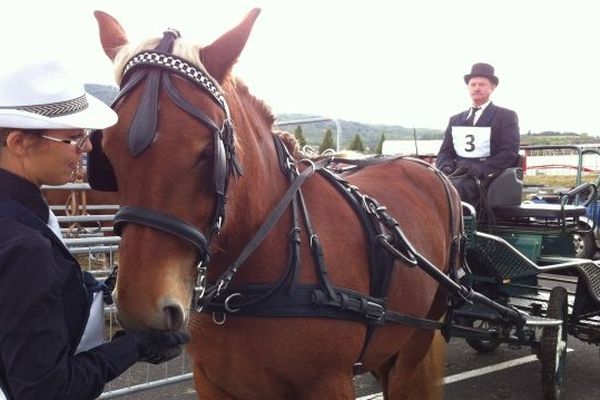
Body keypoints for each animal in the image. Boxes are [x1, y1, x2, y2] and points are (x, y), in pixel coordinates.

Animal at [92, 9, 460, 400]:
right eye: (106, 154)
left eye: (208, 153)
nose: (140, 311)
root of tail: (425, 166)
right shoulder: (212, 383)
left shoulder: (329, 383)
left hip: (418, 335)